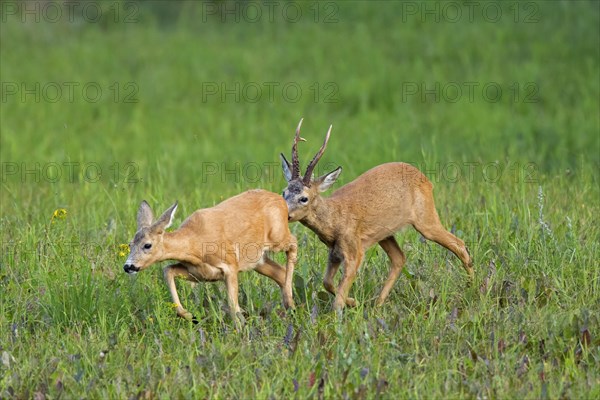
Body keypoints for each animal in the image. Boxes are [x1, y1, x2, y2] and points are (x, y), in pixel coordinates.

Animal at [124, 189, 298, 324]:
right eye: (130, 244)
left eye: (147, 245)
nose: (128, 266)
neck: (195, 244)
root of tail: (280, 200)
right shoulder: (199, 273)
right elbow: (168, 270)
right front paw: (190, 316)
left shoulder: (230, 265)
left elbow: (233, 306)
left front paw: (241, 331)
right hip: (258, 261)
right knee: (280, 272)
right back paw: (290, 306)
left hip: (278, 237)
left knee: (294, 243)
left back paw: (290, 301)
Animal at [282, 119, 474, 312]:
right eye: (284, 192)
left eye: (304, 198)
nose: (286, 215)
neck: (334, 219)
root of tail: (426, 179)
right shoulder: (334, 252)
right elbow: (327, 283)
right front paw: (354, 302)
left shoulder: (355, 251)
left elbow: (338, 299)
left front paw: (341, 313)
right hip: (385, 233)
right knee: (399, 258)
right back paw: (378, 304)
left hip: (426, 219)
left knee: (459, 244)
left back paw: (471, 287)